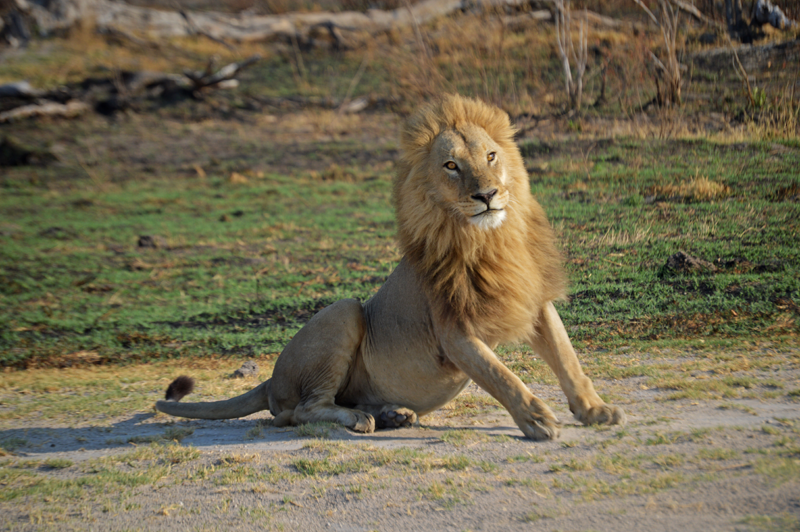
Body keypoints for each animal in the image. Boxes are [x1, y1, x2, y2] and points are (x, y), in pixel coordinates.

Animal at [155, 94, 625, 440]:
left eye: (492, 156)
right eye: (451, 165)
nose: (487, 195)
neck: (489, 241)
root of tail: (269, 380)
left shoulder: (533, 298)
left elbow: (567, 359)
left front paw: (594, 410)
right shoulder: (454, 333)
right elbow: (501, 375)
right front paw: (537, 419)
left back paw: (393, 413)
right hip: (344, 310)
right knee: (298, 411)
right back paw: (360, 420)